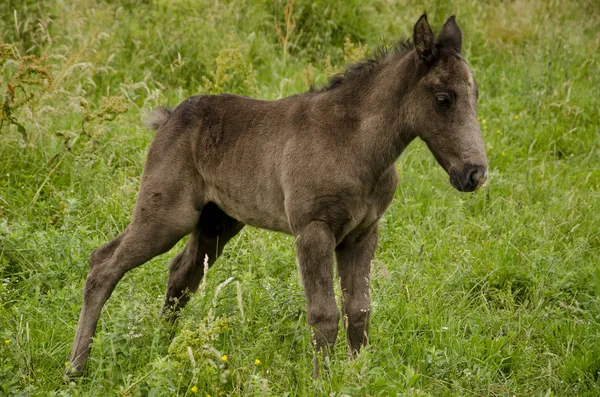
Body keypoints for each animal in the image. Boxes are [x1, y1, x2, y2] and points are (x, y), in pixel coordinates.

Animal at [67, 13, 488, 376]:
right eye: (444, 98)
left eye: (476, 94)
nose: (475, 173)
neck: (357, 145)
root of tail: (168, 118)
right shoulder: (313, 229)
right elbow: (323, 314)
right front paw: (323, 382)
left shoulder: (363, 232)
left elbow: (359, 310)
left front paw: (357, 376)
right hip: (167, 214)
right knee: (104, 263)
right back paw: (76, 369)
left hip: (217, 222)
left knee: (181, 274)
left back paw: (163, 350)